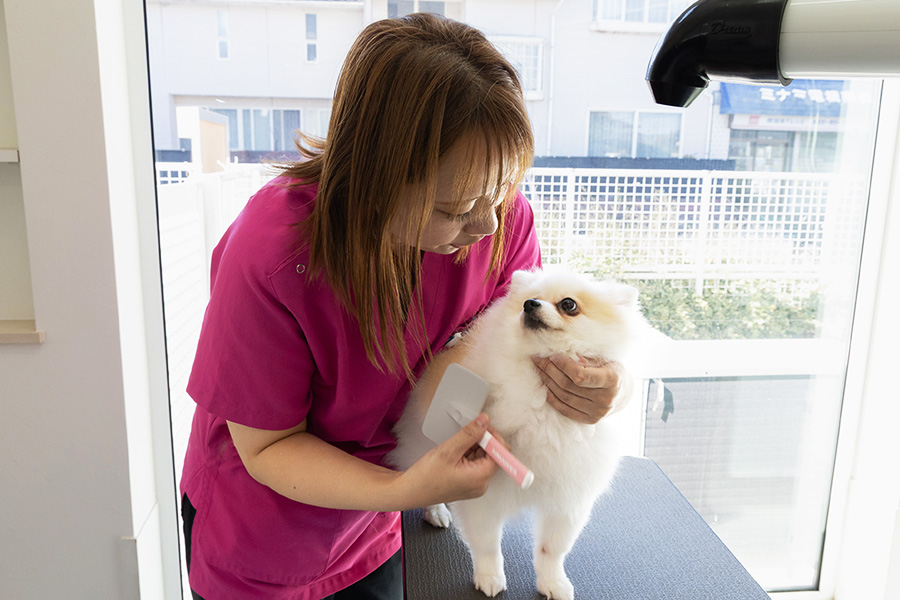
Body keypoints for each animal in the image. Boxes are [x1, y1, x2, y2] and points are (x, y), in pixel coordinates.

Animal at [390, 268, 652, 600]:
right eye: (530, 299)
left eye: (568, 304)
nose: (530, 304)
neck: (539, 393)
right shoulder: (484, 492)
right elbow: (487, 543)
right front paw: (489, 576)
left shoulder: (569, 498)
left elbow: (551, 550)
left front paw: (553, 582)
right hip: (422, 440)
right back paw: (436, 510)